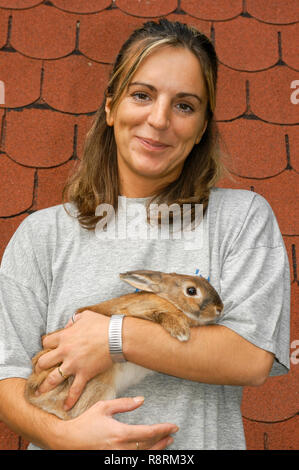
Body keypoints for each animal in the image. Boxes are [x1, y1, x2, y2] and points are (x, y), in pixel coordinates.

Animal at [25, 270, 223, 420]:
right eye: (191, 290)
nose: (219, 308)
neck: (171, 301)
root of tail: (34, 395)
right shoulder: (139, 311)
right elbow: (161, 314)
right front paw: (181, 331)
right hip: (97, 385)